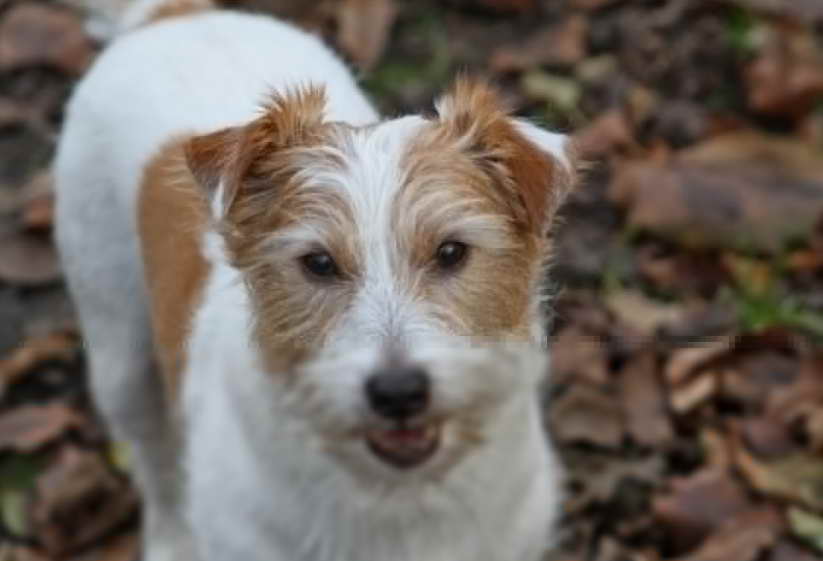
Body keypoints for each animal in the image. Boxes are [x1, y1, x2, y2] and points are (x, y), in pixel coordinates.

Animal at [54, 2, 576, 556]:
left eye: (452, 251)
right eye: (319, 262)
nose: (398, 392)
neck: (395, 495)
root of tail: (174, 17)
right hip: (119, 355)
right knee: (154, 464)